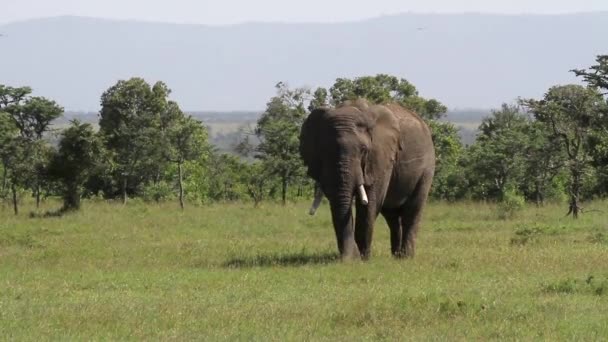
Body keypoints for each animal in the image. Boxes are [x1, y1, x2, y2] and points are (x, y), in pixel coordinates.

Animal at [298, 99, 432, 260]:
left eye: (364, 150)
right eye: (323, 150)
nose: (348, 258)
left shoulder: (380, 156)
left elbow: (370, 202)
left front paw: (362, 258)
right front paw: (356, 258)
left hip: (426, 168)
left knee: (413, 210)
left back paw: (405, 257)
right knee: (392, 216)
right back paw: (396, 256)